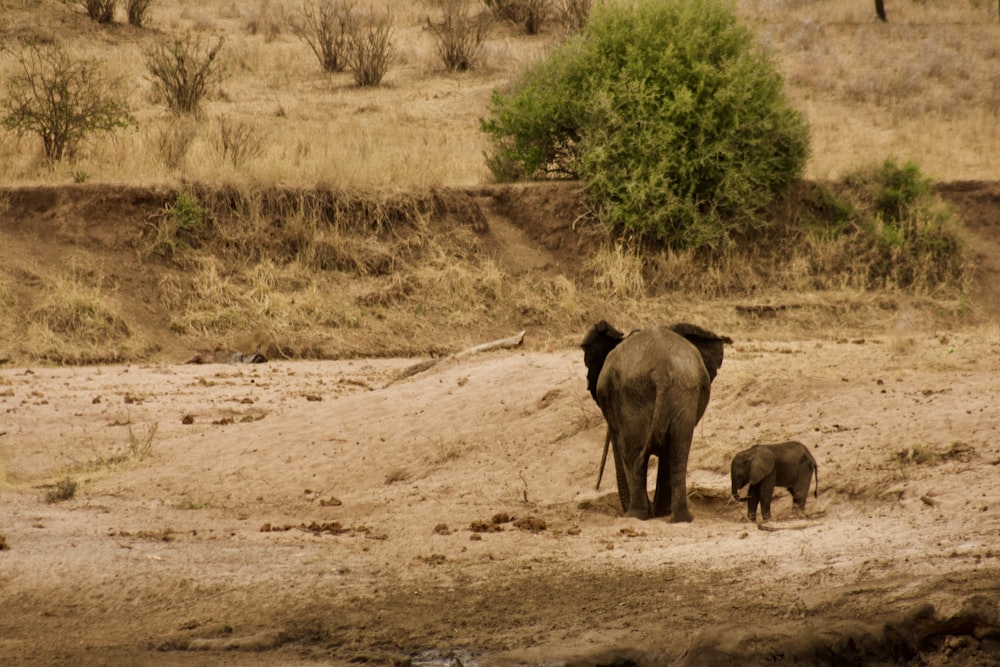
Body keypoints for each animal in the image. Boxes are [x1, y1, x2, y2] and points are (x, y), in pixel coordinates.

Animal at [584, 320, 732, 524]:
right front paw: (659, 512)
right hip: (682, 394)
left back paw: (636, 515)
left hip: (632, 397)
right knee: (678, 451)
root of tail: (661, 372)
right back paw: (678, 518)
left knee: (633, 452)